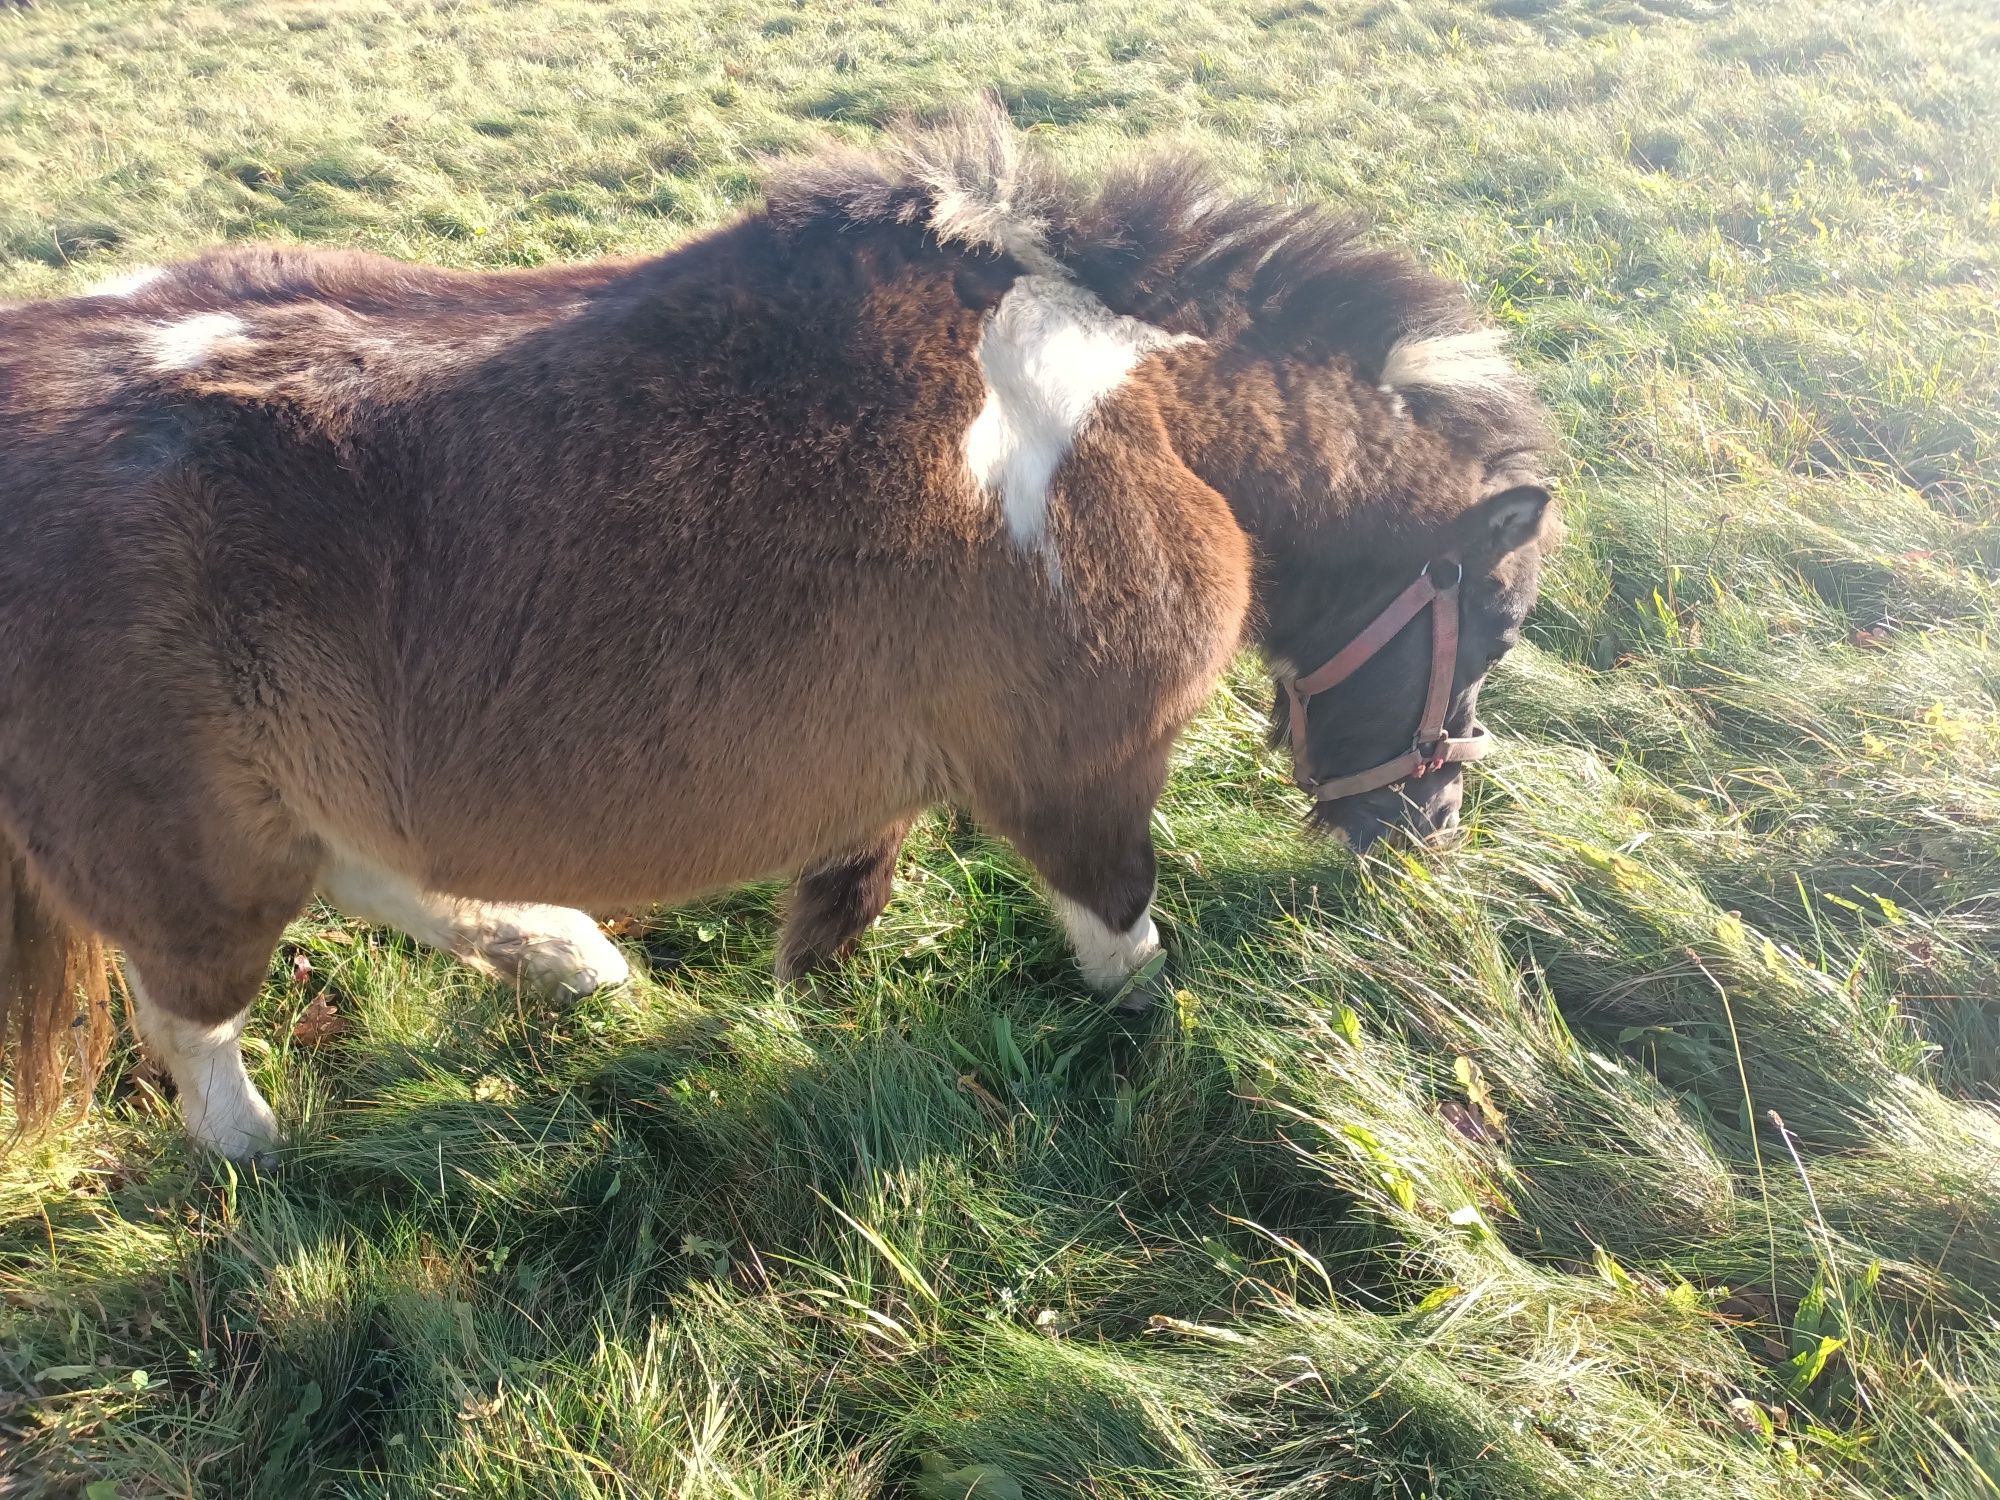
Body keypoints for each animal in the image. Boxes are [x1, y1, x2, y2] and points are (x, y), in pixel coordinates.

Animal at [0, 106, 1552, 1160]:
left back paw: (567, 955)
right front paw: (1156, 1044)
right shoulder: (1080, 769)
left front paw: (800, 988)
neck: (1130, 410)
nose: (1425, 835)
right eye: (1494, 625)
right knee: (195, 1012)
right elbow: (1126, 942)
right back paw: (261, 1148)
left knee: (375, 875)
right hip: (185, 838)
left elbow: (849, 887)